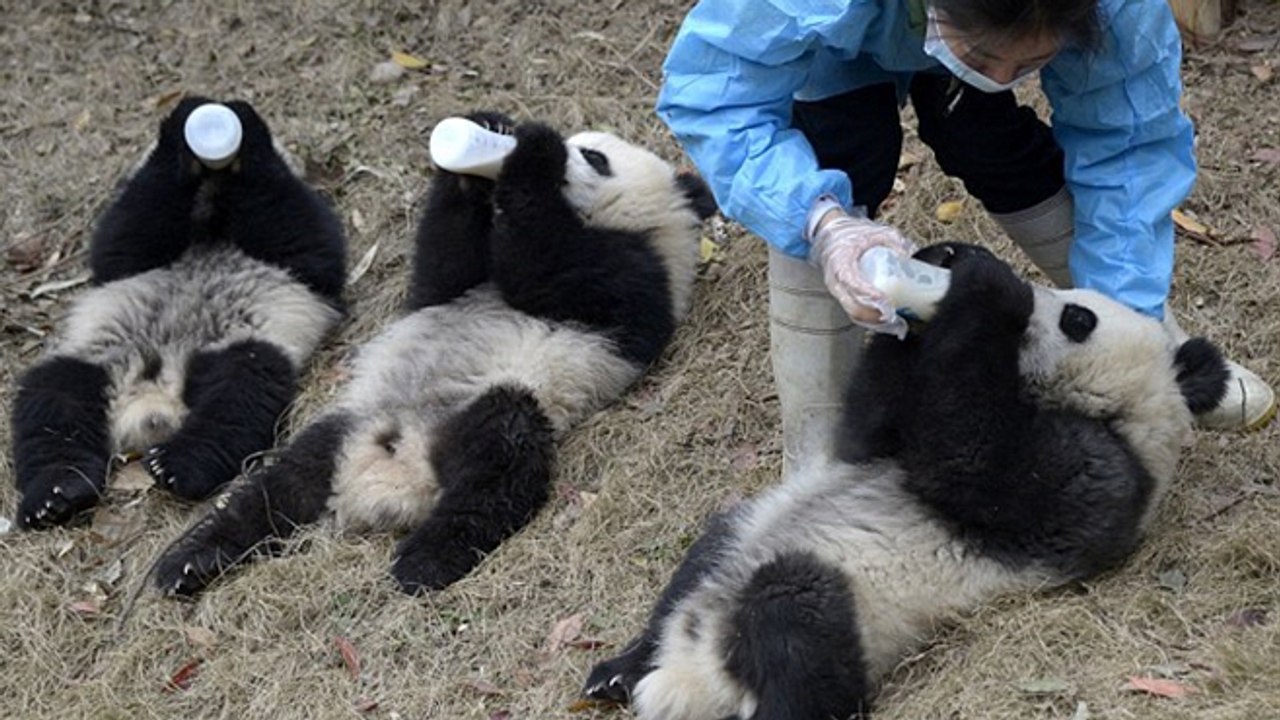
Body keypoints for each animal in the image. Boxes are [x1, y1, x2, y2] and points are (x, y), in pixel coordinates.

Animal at [10, 97, 347, 530]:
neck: (210, 221)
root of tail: (151, 401)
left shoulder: (297, 252)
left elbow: (305, 241)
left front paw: (240, 127)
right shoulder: (134, 252)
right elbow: (125, 237)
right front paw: (187, 126)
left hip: (237, 345)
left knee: (239, 394)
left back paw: (177, 465)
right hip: (94, 356)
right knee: (53, 403)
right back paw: (55, 493)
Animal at [151, 111, 717, 596]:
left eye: (596, 158)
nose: (560, 146)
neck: (620, 224)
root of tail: (383, 479)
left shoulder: (635, 282)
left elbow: (548, 266)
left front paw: (531, 153)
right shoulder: (459, 283)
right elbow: (443, 266)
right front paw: (484, 141)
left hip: (498, 403)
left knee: (496, 469)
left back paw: (423, 562)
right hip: (342, 424)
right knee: (273, 492)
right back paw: (186, 557)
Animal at [582, 243, 1231, 719]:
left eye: (1077, 318)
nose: (1036, 295)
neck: (1119, 417)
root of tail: (692, 672)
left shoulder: (1090, 479)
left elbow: (972, 455)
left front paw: (987, 289)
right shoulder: (882, 444)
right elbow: (867, 428)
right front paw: (932, 265)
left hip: (850, 604)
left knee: (800, 626)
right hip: (744, 533)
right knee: (702, 558)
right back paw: (617, 671)